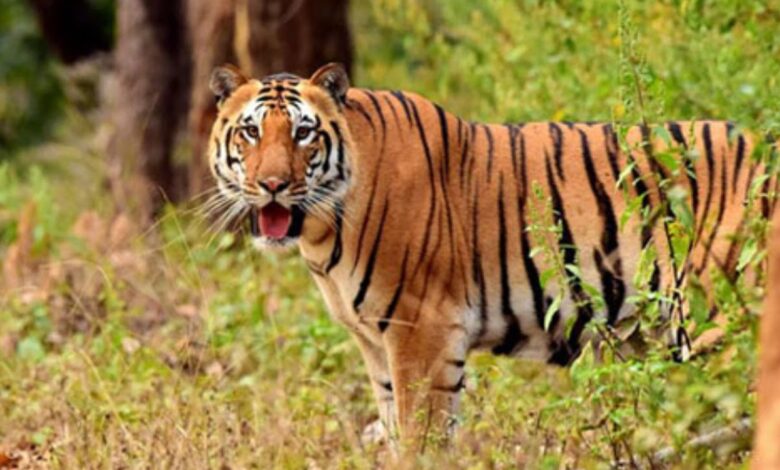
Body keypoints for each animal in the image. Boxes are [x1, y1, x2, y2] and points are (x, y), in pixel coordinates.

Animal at [206, 62, 776, 447]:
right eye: (251, 131)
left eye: (303, 132)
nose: (273, 185)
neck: (324, 229)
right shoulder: (377, 344)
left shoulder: (421, 330)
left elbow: (421, 439)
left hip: (721, 320)